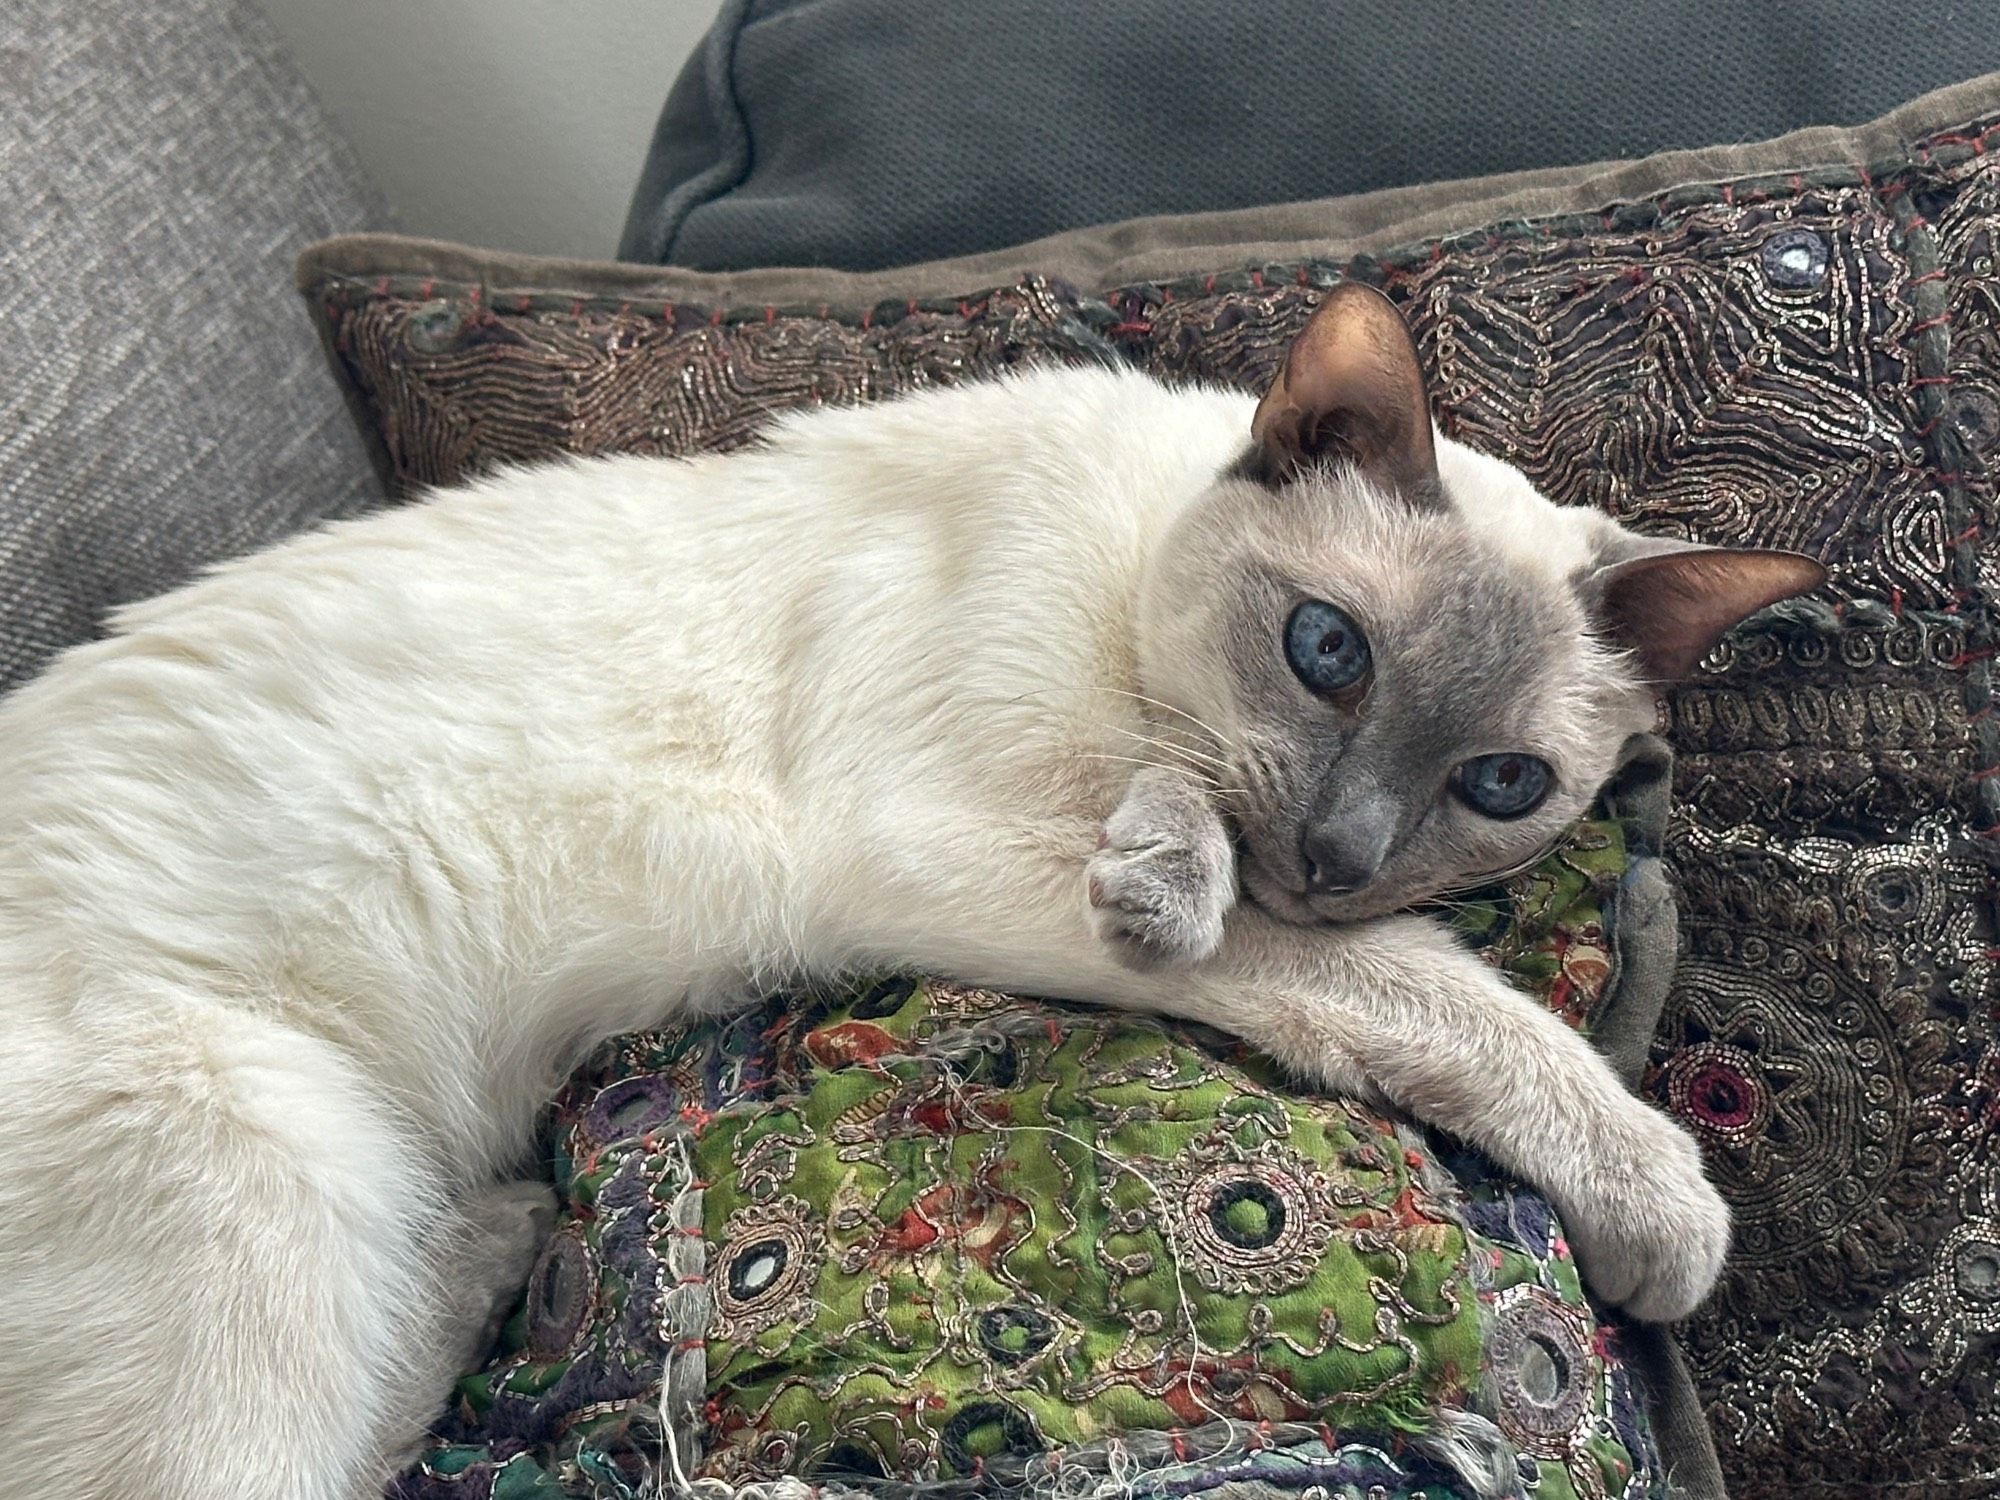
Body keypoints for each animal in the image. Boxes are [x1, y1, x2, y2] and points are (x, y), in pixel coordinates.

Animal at [0, 284, 1824, 1500]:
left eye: (1500, 787)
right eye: (1329, 651)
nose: (1340, 859)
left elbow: (1348, 943)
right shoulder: (960, 835)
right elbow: (1430, 992)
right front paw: (1669, 1211)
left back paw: (499, 1234)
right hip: (256, 1149)